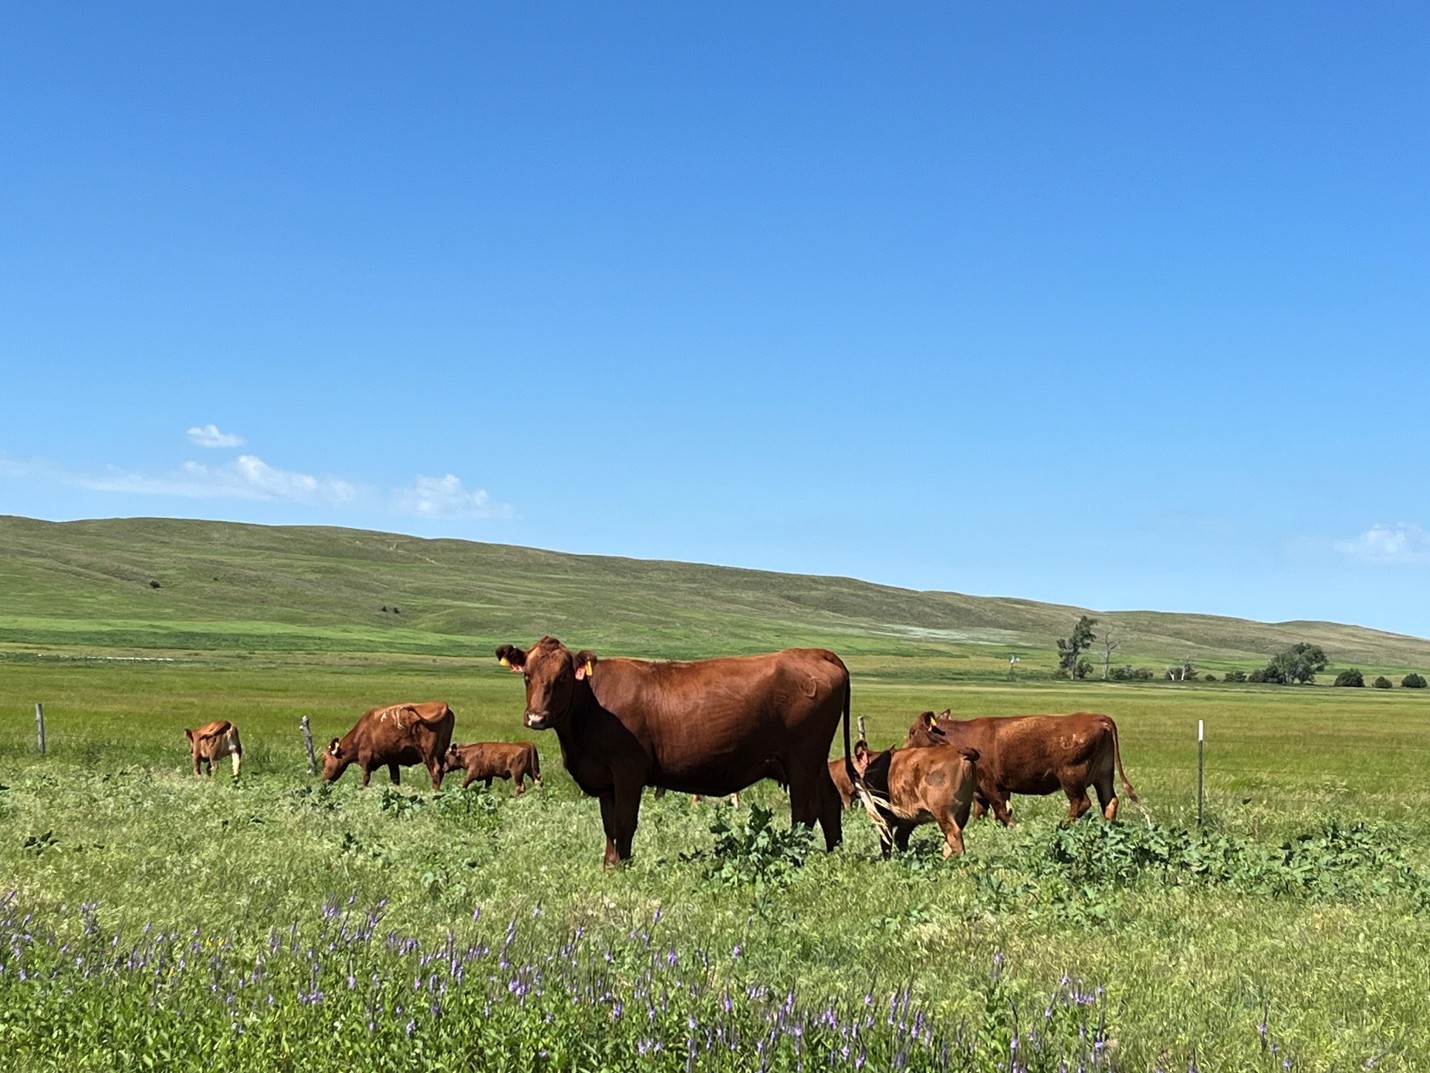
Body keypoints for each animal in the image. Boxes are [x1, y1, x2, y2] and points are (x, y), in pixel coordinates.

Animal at [321, 701, 455, 790]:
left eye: (324, 760)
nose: (322, 779)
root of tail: (441, 704)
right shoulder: (392, 761)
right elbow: (395, 779)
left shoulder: (366, 759)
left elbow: (365, 779)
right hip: (441, 753)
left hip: (429, 754)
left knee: (435, 771)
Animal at [495, 636, 852, 866]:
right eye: (527, 675)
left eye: (563, 677)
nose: (536, 718)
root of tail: (814, 653)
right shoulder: (605, 779)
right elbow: (609, 825)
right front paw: (609, 864)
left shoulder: (628, 770)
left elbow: (624, 823)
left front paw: (624, 866)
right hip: (814, 761)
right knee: (829, 803)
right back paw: (834, 853)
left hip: (802, 758)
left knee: (804, 811)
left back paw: (793, 857)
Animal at [852, 739, 980, 858]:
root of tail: (960, 752)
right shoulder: (908, 820)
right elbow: (900, 838)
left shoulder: (882, 816)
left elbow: (886, 843)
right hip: (963, 811)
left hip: (943, 812)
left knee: (954, 837)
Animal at [903, 709, 1138, 824]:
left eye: (912, 731)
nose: (904, 749)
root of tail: (1099, 718)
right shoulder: (983, 788)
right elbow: (983, 811)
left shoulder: (990, 783)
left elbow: (1000, 809)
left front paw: (1013, 827)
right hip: (1104, 775)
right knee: (1109, 802)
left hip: (1072, 777)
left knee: (1081, 803)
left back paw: (1065, 825)